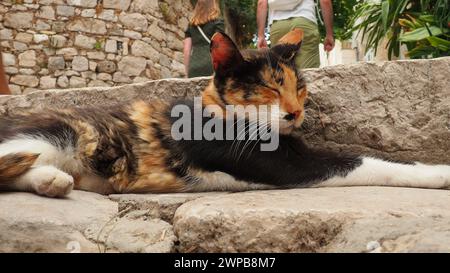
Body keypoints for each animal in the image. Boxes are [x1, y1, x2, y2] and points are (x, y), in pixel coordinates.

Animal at [0, 28, 450, 197]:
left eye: (299, 88)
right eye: (270, 87)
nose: (294, 113)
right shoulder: (285, 165)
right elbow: (366, 161)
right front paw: (438, 171)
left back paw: (53, 181)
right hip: (62, 134)